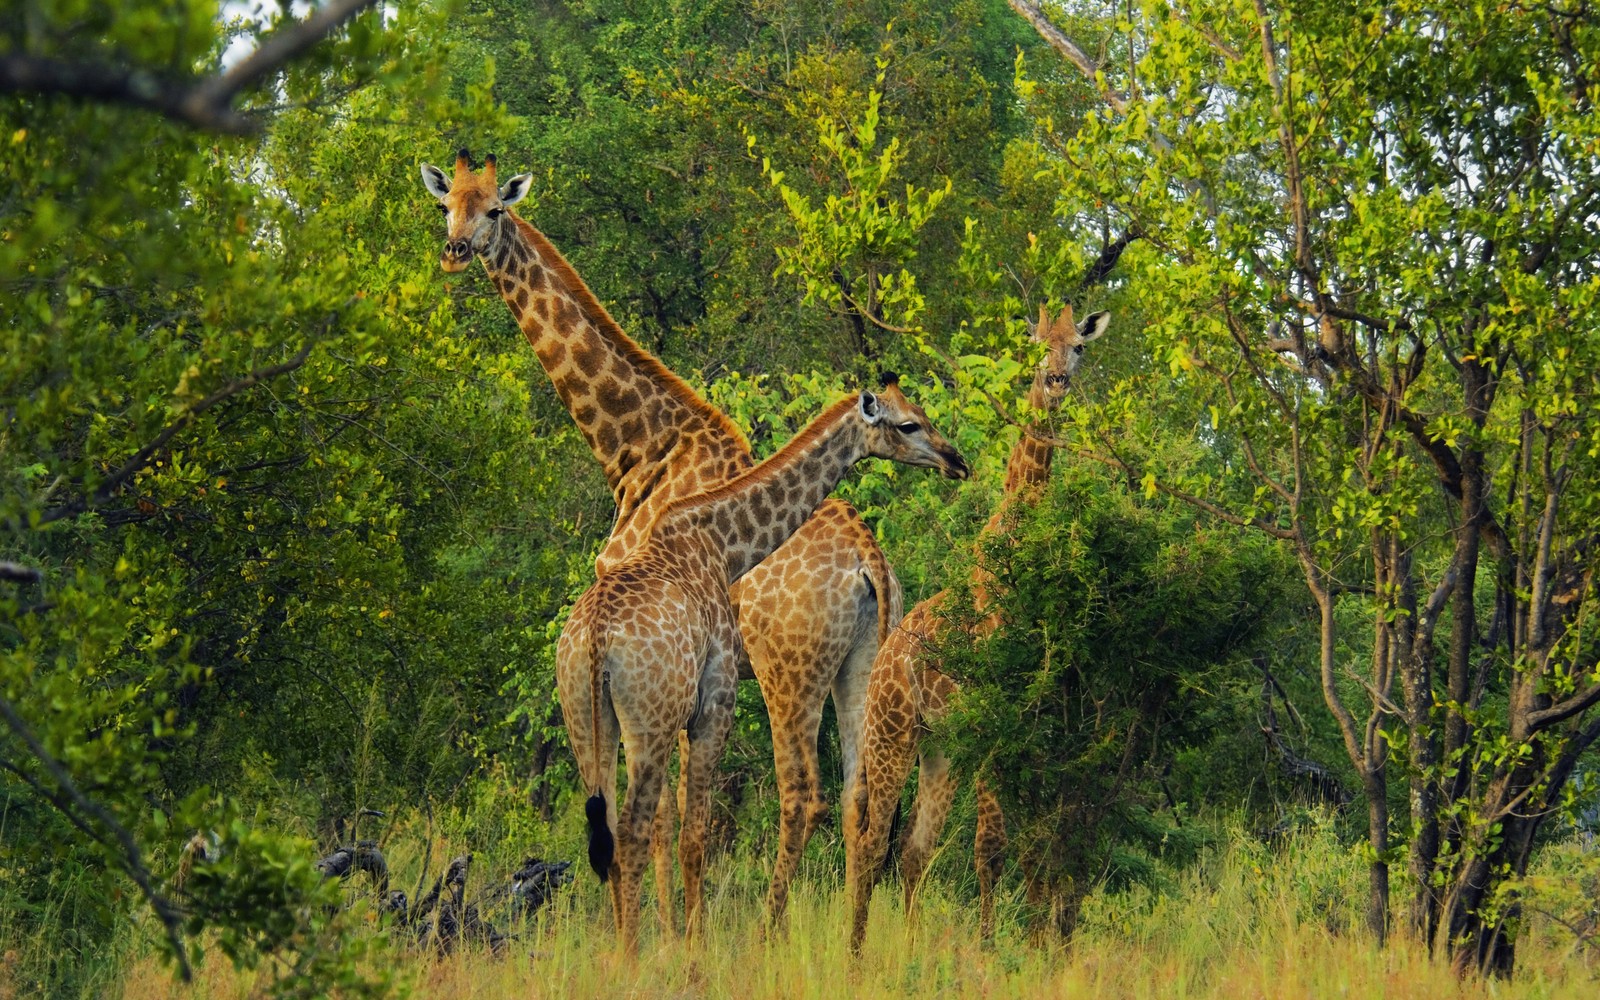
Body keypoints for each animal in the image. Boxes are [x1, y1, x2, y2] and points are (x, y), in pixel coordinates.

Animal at [419, 152, 908, 921]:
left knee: (803, 798)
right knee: (864, 801)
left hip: (788, 674)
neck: (637, 449)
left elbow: (663, 815)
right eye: (447, 207)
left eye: (495, 208)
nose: (456, 251)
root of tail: (869, 564)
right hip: (859, 663)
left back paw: (770, 928)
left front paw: (671, 925)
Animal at [556, 376, 966, 953]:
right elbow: (689, 825)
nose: (957, 461)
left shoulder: (702, 701)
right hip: (679, 711)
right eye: (909, 424)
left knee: (616, 830)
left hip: (596, 718)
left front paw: (683, 939)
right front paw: (688, 946)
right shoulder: (715, 698)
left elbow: (683, 824)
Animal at [838, 302, 1113, 953]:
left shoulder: (1025, 719)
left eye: (1078, 347)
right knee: (871, 842)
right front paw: (991, 951)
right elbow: (991, 844)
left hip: (939, 747)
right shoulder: (992, 714)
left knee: (914, 850)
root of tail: (884, 667)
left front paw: (1034, 945)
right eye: (1037, 344)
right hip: (894, 736)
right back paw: (856, 955)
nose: (1055, 382)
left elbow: (1027, 842)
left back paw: (908, 949)